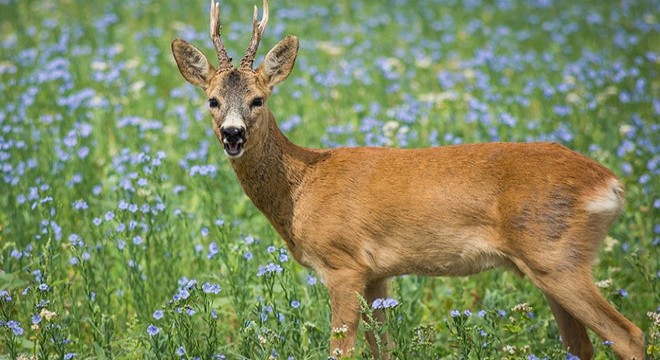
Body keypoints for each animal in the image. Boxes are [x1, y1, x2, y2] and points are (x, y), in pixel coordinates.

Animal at [170, 1, 644, 358]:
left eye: (257, 99)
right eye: (212, 100)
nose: (233, 134)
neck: (301, 188)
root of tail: (611, 184)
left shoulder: (342, 263)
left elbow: (341, 350)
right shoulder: (377, 273)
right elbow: (385, 348)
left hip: (556, 257)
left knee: (629, 335)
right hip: (551, 266)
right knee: (582, 346)